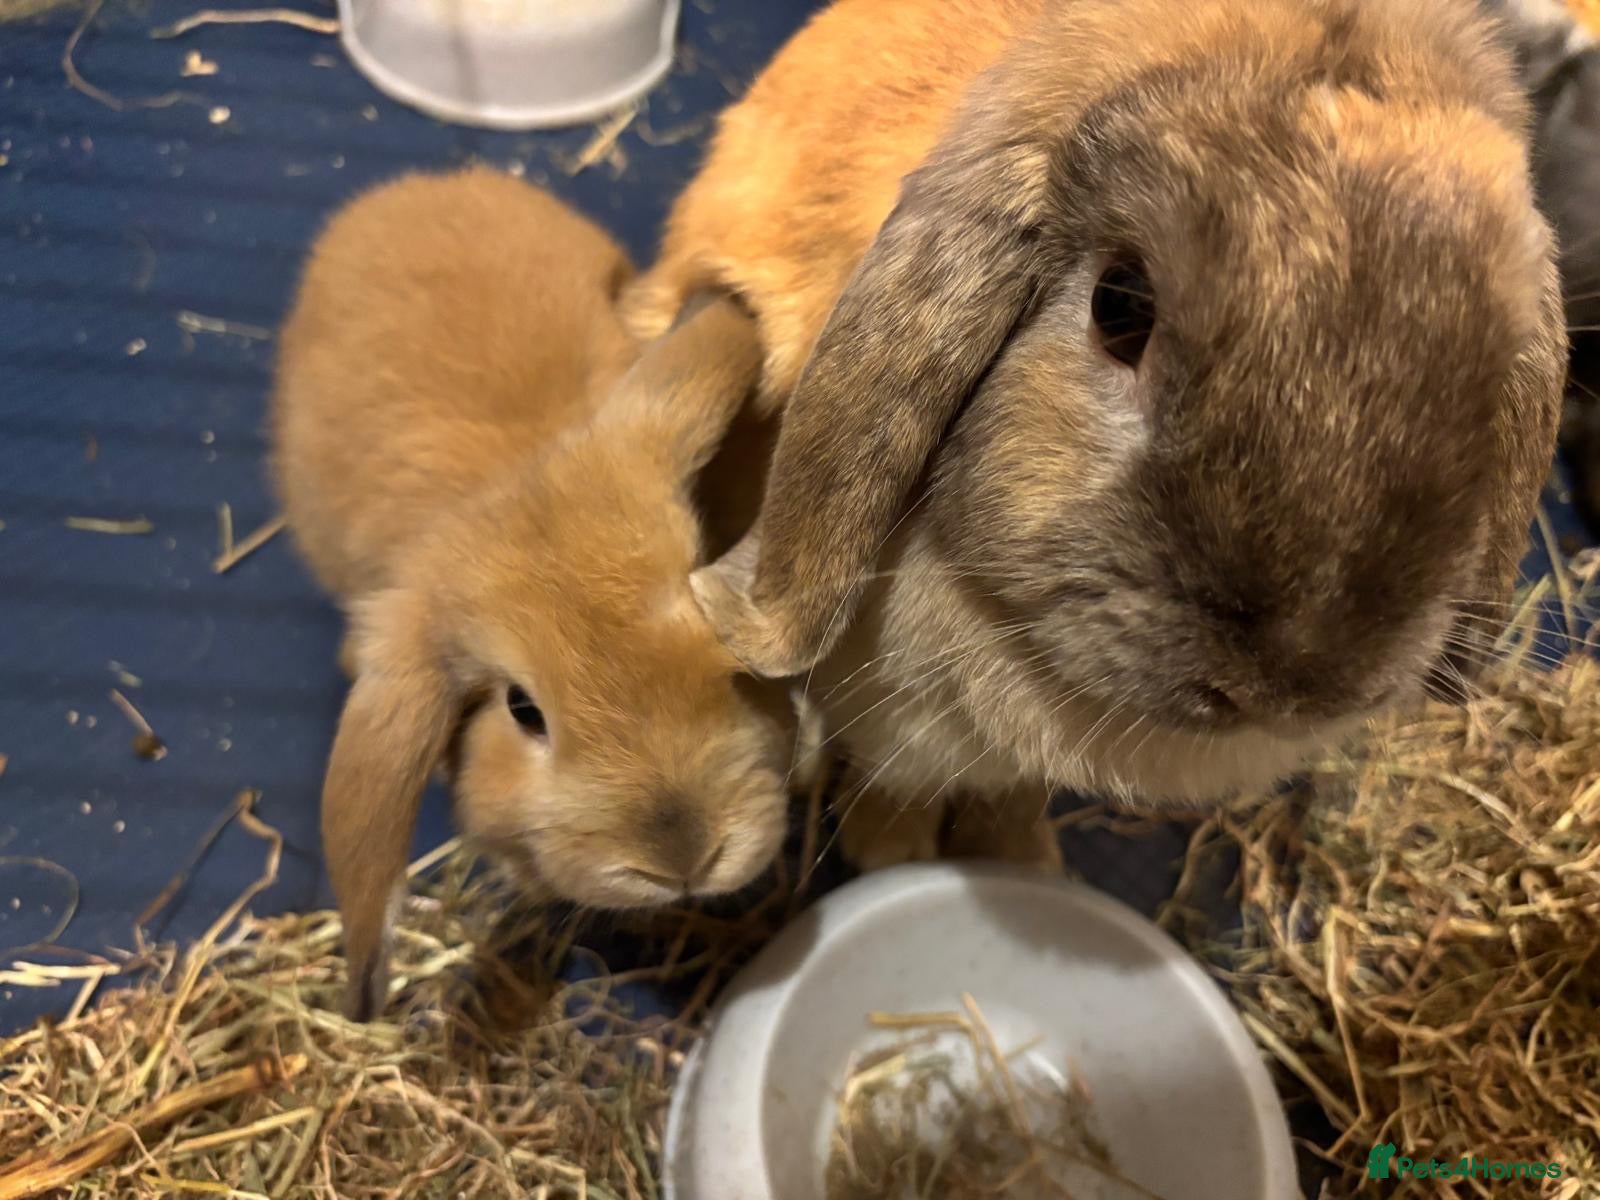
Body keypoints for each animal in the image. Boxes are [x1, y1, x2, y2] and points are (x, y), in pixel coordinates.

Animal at [623, 0, 1568, 862]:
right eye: (1121, 307)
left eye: (1488, 365)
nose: (1291, 686)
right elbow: (896, 787)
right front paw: (892, 854)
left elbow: (1010, 795)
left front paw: (1022, 859)